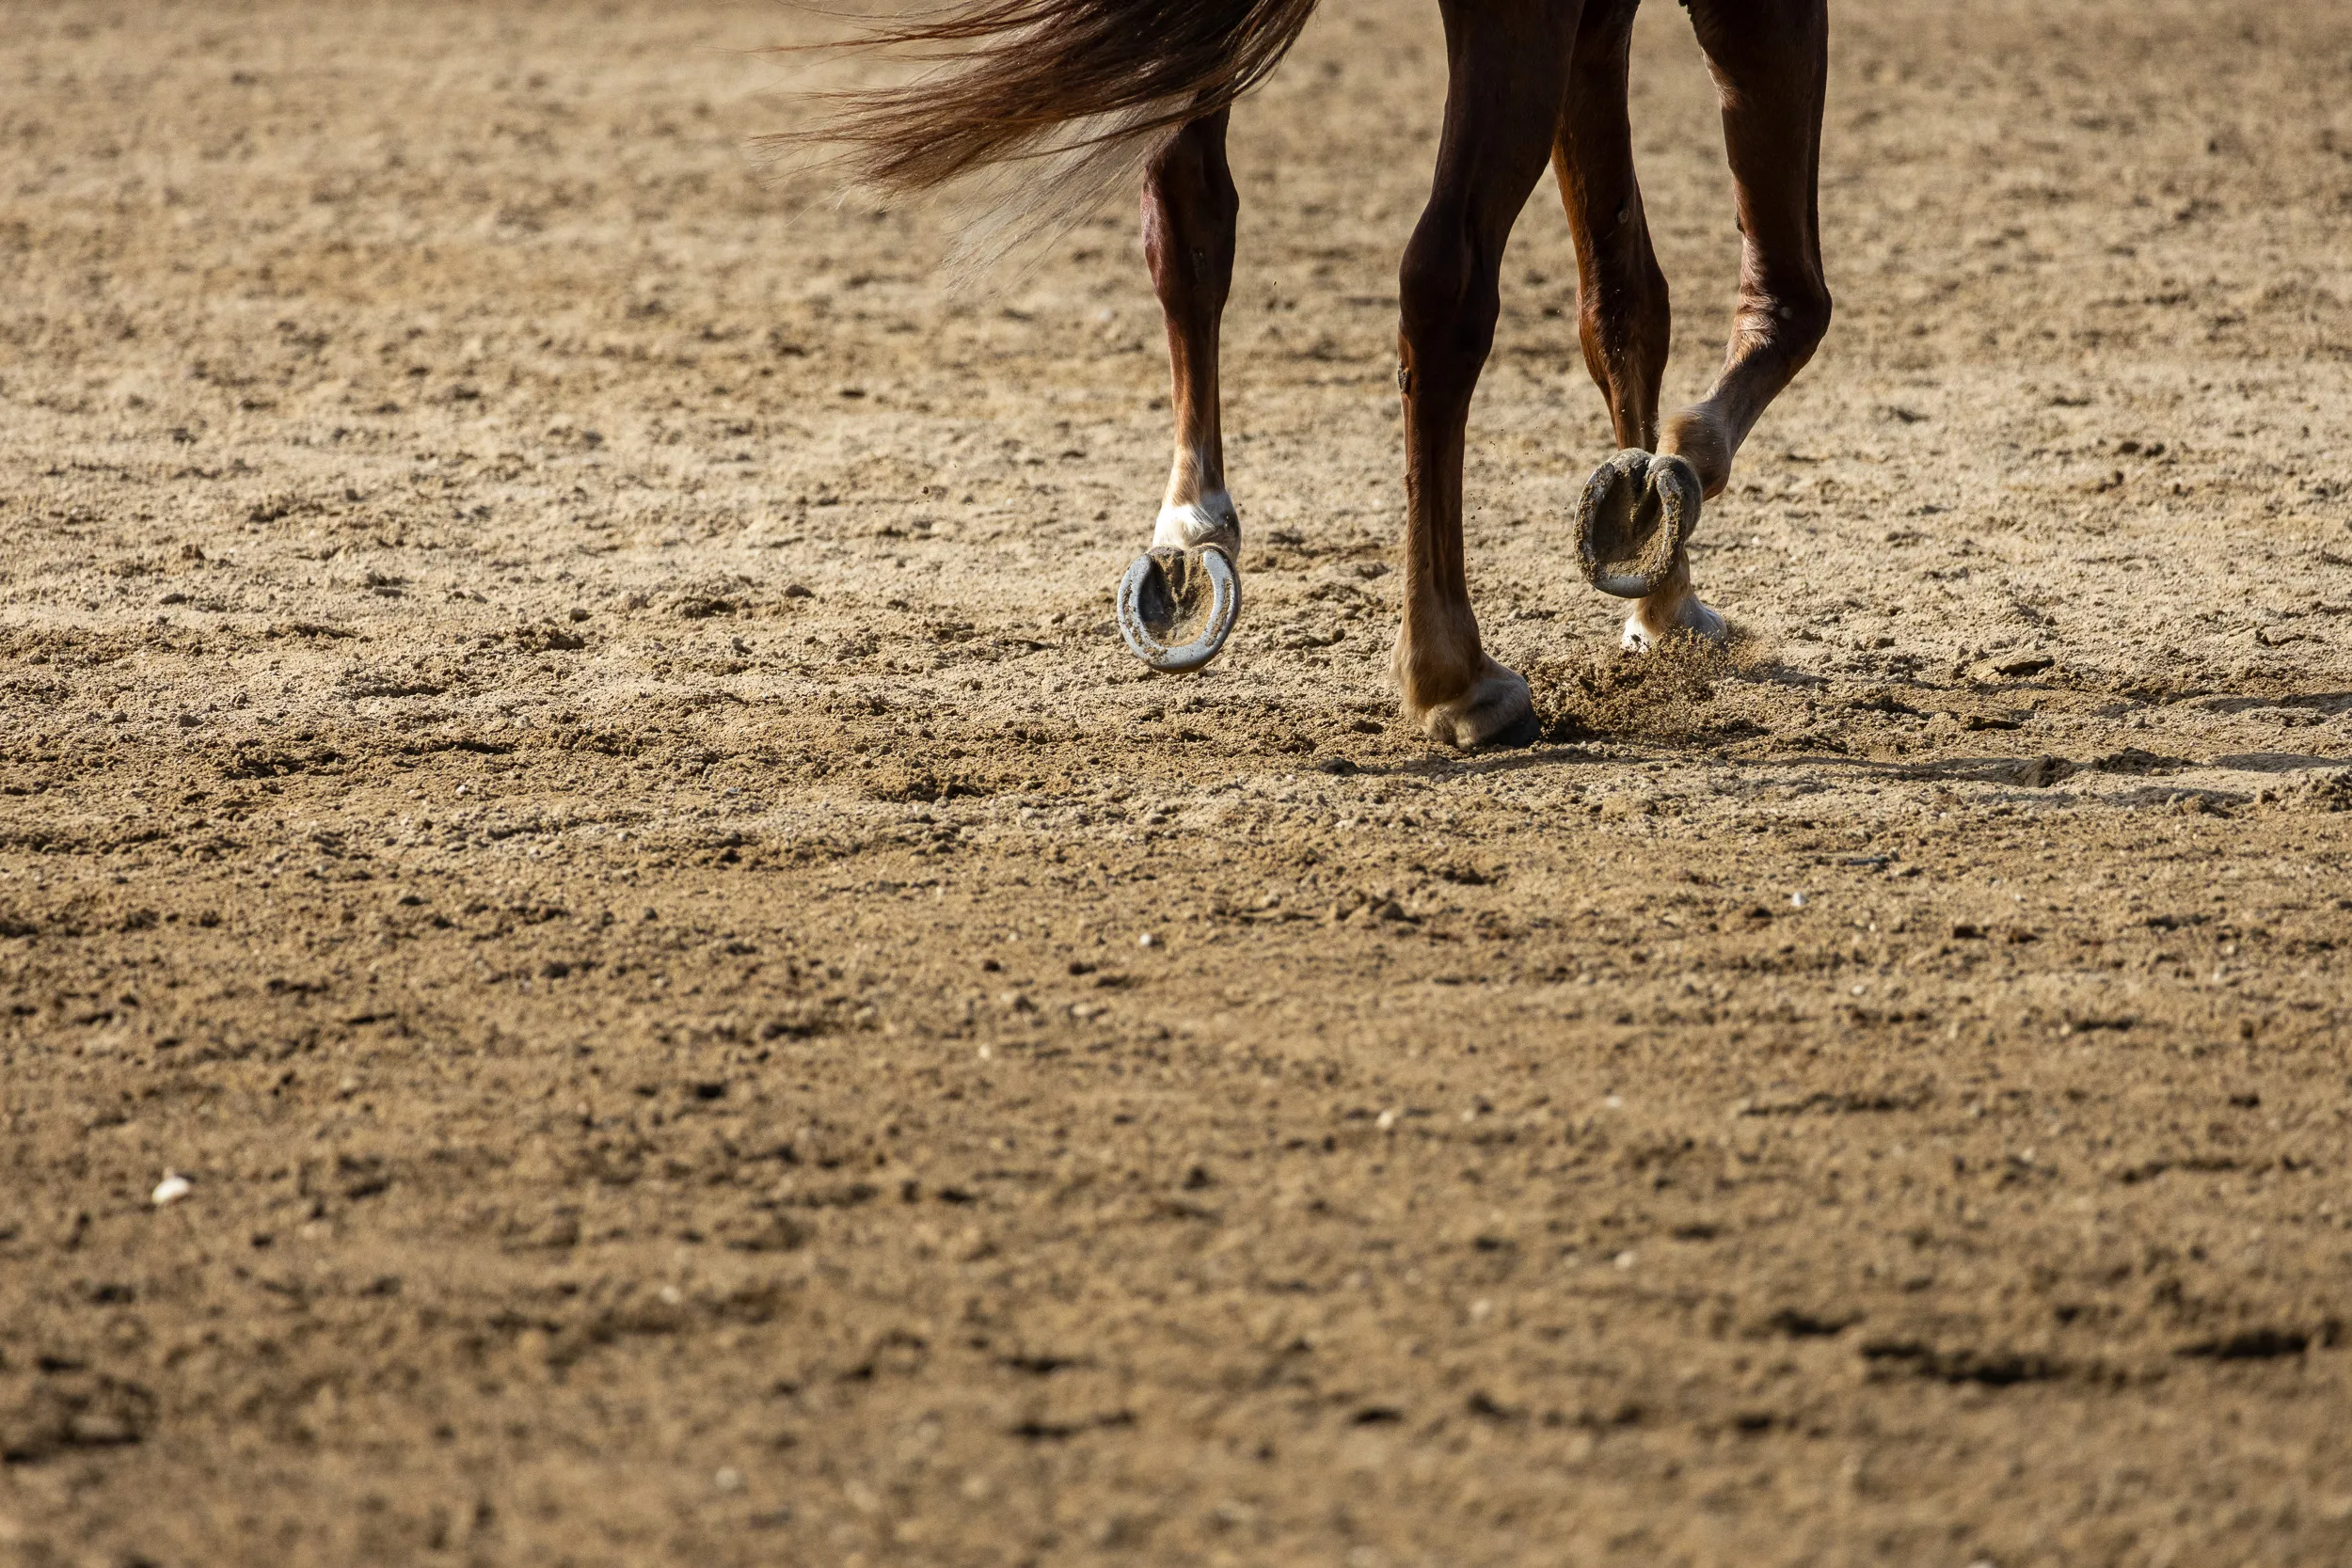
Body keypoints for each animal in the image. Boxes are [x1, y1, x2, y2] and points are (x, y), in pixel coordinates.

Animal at [796, 0, 1830, 747]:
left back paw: (1193, 522)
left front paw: (1656, 574)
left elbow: (1623, 299)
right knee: (1444, 282)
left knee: (1187, 218)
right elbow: (1791, 296)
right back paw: (1455, 673)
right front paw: (1670, 488)